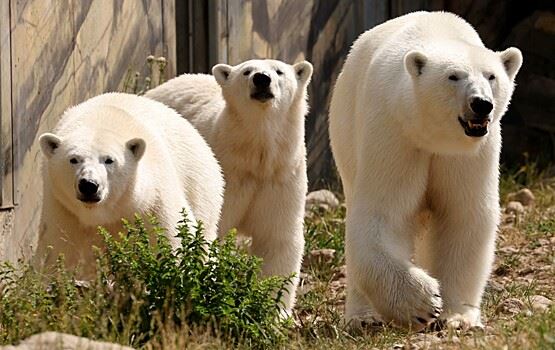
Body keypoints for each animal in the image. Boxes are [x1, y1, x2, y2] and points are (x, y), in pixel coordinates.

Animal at [36, 93, 226, 278]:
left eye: (109, 160)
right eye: (73, 159)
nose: (89, 185)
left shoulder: (151, 201)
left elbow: (172, 240)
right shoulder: (64, 210)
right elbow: (58, 251)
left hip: (201, 188)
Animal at [328, 10, 524, 328]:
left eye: (491, 76)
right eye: (453, 76)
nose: (481, 104)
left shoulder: (467, 154)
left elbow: (463, 215)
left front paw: (457, 316)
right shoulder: (394, 133)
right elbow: (383, 213)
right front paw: (422, 302)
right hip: (346, 130)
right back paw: (363, 317)